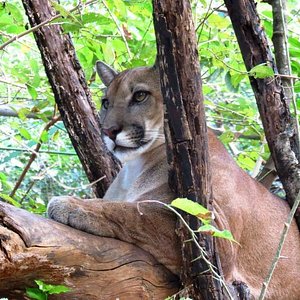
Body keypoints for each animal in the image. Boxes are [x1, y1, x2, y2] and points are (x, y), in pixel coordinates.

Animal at [48, 61, 298, 298]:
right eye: (106, 103)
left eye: (140, 95)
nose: (108, 131)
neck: (136, 167)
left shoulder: (215, 237)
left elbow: (134, 212)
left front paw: (74, 205)